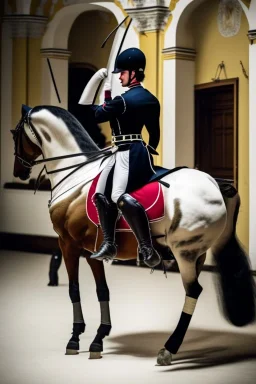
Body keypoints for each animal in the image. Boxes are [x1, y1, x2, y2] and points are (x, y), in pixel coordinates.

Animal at [12, 105, 256, 366]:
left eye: (15, 134)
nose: (19, 172)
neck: (76, 176)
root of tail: (215, 183)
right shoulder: (92, 251)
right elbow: (102, 290)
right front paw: (98, 338)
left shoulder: (68, 244)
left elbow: (74, 289)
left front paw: (75, 339)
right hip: (196, 254)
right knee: (192, 293)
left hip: (185, 252)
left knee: (193, 291)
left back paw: (169, 348)